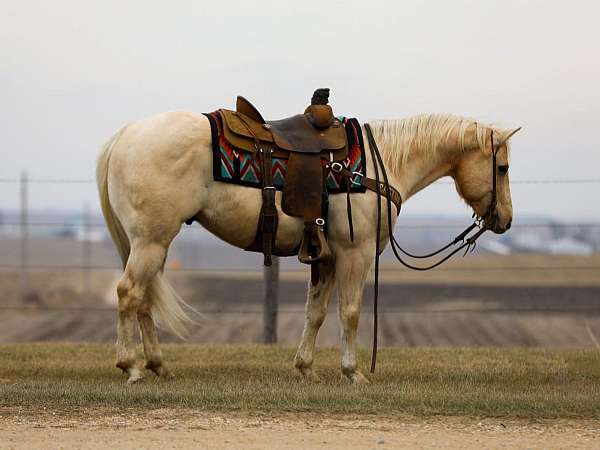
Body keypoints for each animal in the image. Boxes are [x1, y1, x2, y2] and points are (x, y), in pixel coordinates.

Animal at [96, 111, 516, 384]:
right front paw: (353, 372)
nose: (506, 220)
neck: (375, 168)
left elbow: (315, 313)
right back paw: (130, 365)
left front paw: (306, 368)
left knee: (144, 299)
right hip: (151, 241)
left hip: (153, 243)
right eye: (503, 168)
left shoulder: (326, 259)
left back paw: (158, 365)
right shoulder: (355, 253)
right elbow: (350, 313)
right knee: (129, 293)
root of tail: (126, 134)